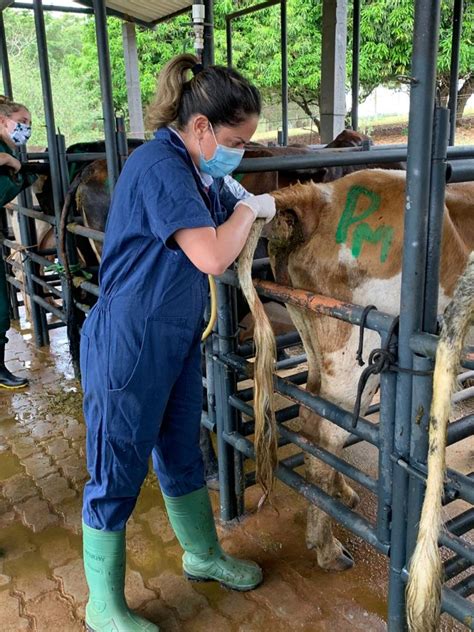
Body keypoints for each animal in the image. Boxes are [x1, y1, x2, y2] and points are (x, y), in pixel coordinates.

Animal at [239, 169, 472, 572]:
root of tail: (320, 196)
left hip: (313, 334)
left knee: (312, 415)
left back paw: (342, 493)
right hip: (353, 355)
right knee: (329, 430)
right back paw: (327, 547)